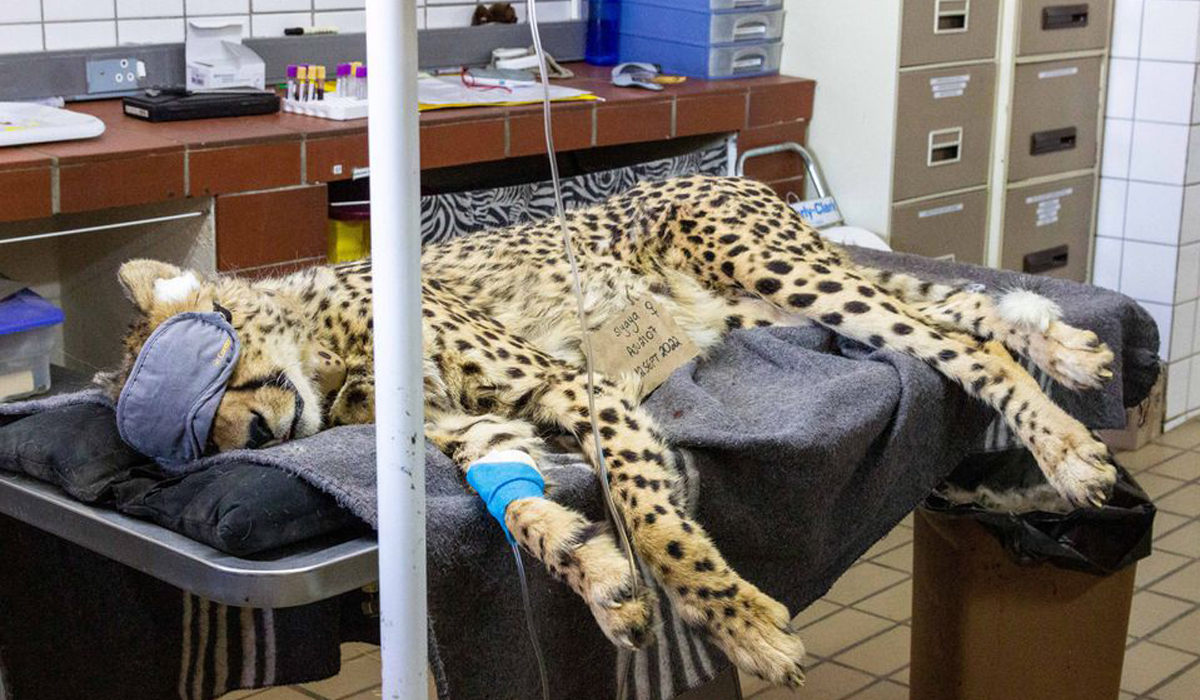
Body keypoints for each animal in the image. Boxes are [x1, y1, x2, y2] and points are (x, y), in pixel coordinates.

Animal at [99, 175, 1118, 688]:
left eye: (210, 370)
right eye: (199, 448)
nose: (253, 433)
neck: (333, 359)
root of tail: (728, 169)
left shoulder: (577, 383)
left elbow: (657, 522)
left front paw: (738, 621)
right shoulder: (480, 434)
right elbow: (522, 515)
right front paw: (599, 580)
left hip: (779, 271)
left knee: (955, 341)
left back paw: (1067, 447)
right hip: (766, 309)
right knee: (960, 307)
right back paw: (1067, 349)